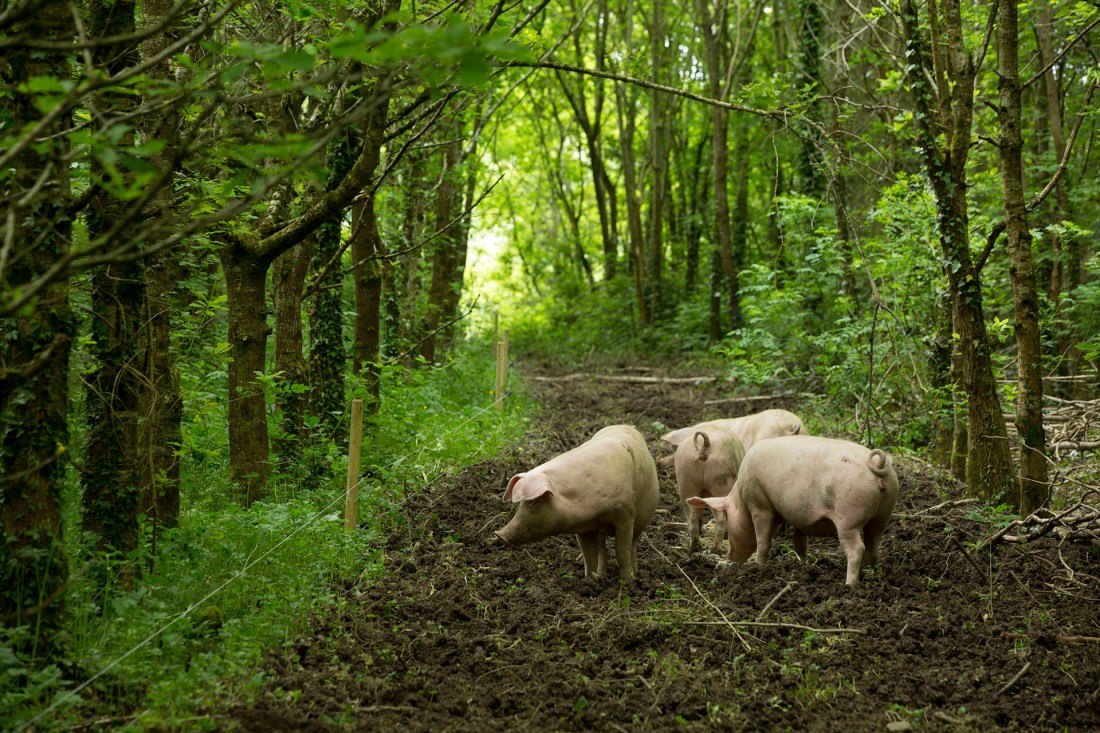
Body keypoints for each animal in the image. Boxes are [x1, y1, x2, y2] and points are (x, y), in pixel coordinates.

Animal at [488, 424, 659, 581]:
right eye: (521, 503)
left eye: (532, 502)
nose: (499, 534)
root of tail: (627, 426)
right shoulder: (585, 528)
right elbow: (588, 554)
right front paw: (590, 580)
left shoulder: (625, 515)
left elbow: (621, 550)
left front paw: (627, 582)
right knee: (602, 550)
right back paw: (602, 576)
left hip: (642, 519)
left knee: (633, 545)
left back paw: (636, 575)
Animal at [687, 435, 899, 586]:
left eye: (730, 528)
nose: (729, 558)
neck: (741, 498)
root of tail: (877, 465)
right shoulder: (800, 518)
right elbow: (799, 544)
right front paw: (803, 566)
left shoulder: (760, 505)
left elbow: (763, 541)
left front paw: (758, 567)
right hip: (883, 514)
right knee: (873, 547)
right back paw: (868, 576)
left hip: (849, 518)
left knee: (857, 549)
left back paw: (850, 585)